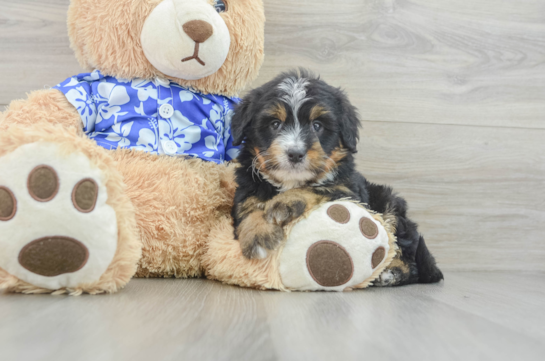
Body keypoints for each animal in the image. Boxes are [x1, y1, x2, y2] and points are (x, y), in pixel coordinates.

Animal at [230, 69, 442, 286]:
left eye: (317, 126)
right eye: (275, 124)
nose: (295, 153)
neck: (290, 181)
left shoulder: (347, 190)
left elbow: (315, 188)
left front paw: (284, 202)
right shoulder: (247, 186)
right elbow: (247, 205)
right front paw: (257, 233)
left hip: (390, 206)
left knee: (407, 257)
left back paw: (392, 272)